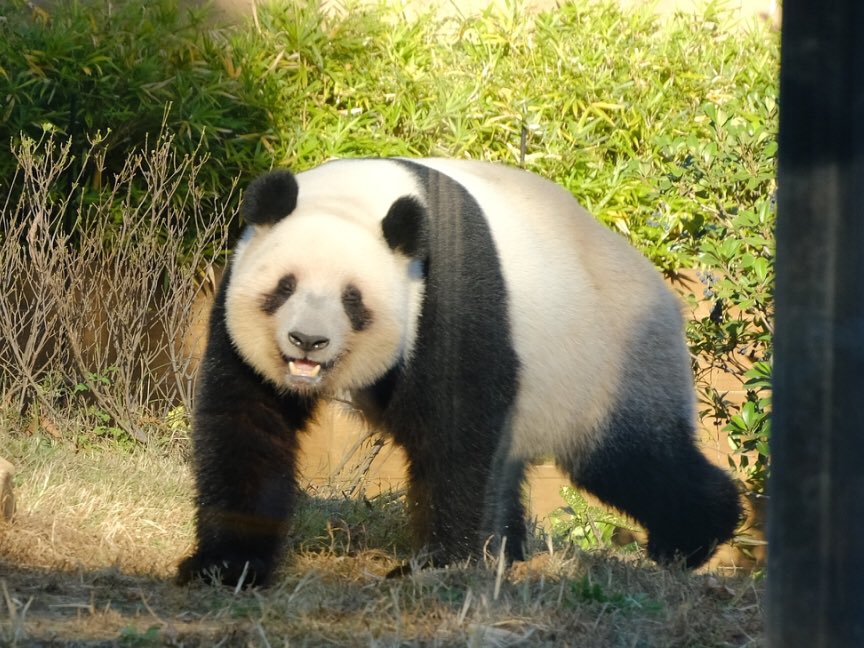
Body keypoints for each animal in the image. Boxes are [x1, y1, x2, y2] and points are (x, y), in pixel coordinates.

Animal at [176, 158, 741, 587]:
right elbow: (246, 421)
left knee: (635, 460)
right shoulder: (236, 304)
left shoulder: (448, 290)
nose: (308, 342)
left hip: (612, 361)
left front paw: (437, 564)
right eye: (285, 286)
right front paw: (223, 566)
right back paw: (507, 550)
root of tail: (667, 294)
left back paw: (691, 539)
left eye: (352, 299)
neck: (362, 199)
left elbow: (458, 429)